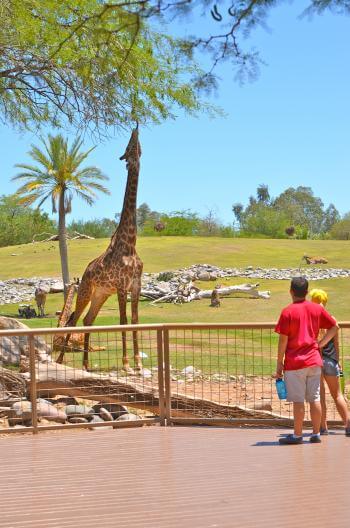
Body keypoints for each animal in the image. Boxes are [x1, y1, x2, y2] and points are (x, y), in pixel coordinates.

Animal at [57, 128, 144, 372]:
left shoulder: (136, 285)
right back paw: (60, 361)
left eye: (134, 145)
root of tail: (85, 272)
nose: (135, 128)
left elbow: (135, 321)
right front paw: (126, 364)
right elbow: (123, 321)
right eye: (129, 147)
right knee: (74, 321)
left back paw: (86, 364)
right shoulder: (122, 286)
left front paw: (138, 363)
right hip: (86, 290)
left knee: (88, 321)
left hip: (101, 293)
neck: (130, 244)